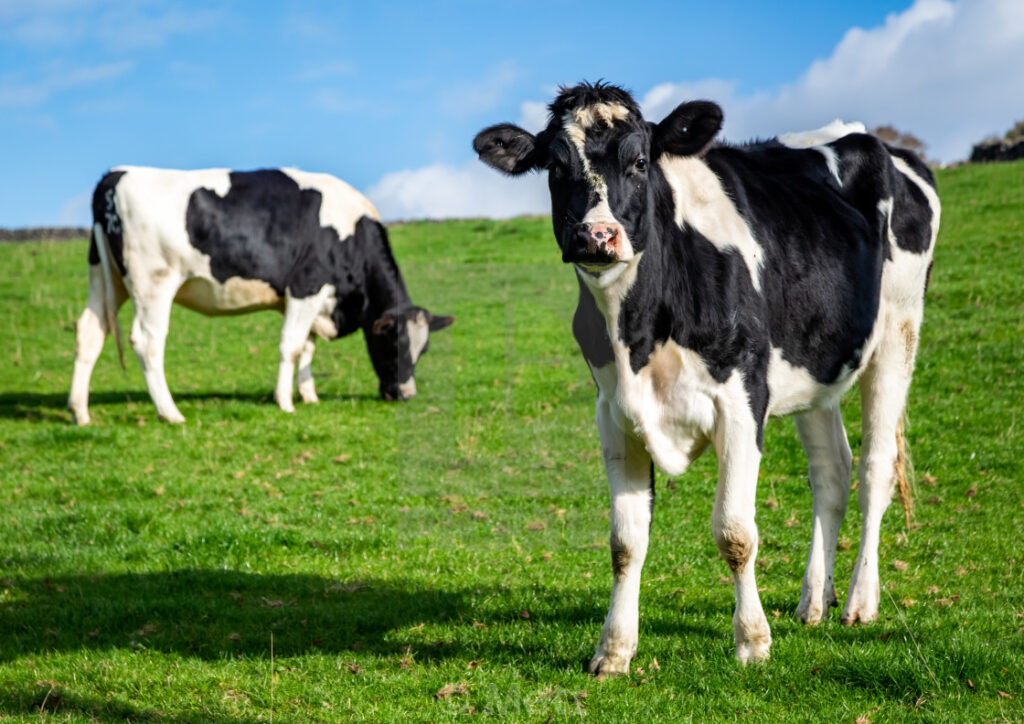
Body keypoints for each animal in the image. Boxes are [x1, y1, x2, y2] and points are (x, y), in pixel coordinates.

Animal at [69, 166, 453, 425]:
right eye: (394, 344)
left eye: (424, 350)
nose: (405, 395)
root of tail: (117, 173)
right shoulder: (306, 288)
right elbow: (292, 346)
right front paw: (285, 401)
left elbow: (307, 348)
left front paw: (309, 394)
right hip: (154, 283)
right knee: (148, 342)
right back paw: (170, 412)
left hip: (104, 276)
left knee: (90, 333)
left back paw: (80, 412)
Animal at [473, 82, 939, 674]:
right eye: (556, 166)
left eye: (640, 161)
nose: (597, 236)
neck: (639, 330)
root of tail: (857, 135)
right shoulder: (614, 413)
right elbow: (625, 541)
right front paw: (614, 651)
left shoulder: (743, 399)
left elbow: (735, 531)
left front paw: (753, 641)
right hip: (815, 365)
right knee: (832, 470)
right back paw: (814, 600)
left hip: (899, 329)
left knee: (877, 468)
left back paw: (860, 601)